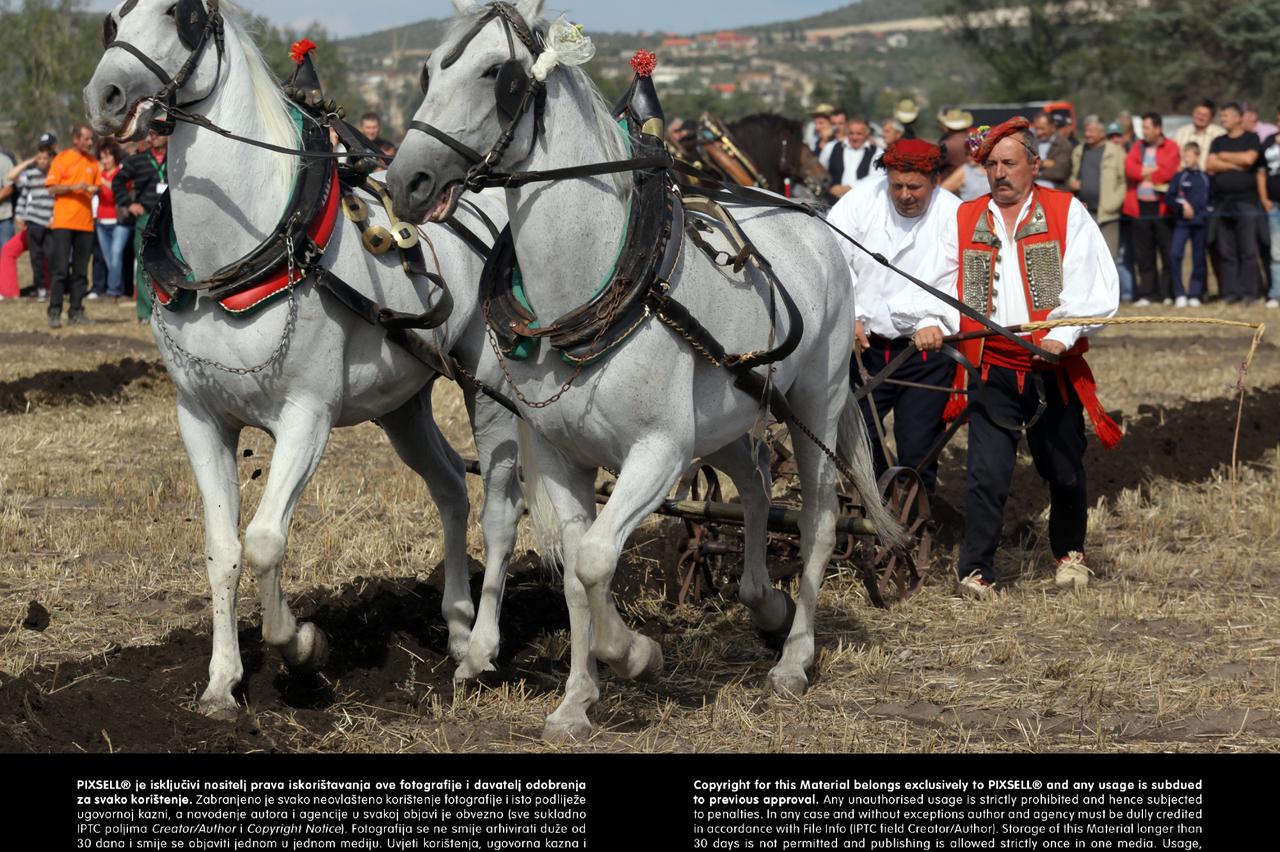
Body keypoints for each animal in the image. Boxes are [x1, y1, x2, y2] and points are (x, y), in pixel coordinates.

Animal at [85, 0, 524, 711]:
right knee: (452, 488)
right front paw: (221, 683)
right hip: (402, 405)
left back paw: (482, 649)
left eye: (180, 15)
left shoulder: (306, 417)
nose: (106, 95)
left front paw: (301, 646)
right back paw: (457, 627)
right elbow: (223, 548)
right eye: (113, 20)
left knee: (500, 508)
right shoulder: (200, 418)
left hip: (489, 394)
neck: (239, 251)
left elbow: (265, 541)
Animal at [389, 0, 901, 736]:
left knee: (820, 520)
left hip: (815, 404)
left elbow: (596, 558)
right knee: (754, 484)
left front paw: (633, 653)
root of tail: (810, 218)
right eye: (429, 70)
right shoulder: (563, 455)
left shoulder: (659, 451)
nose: (404, 182)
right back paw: (762, 601)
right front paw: (576, 700)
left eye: (497, 75)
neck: (590, 288)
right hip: (726, 417)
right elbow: (576, 570)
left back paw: (794, 658)